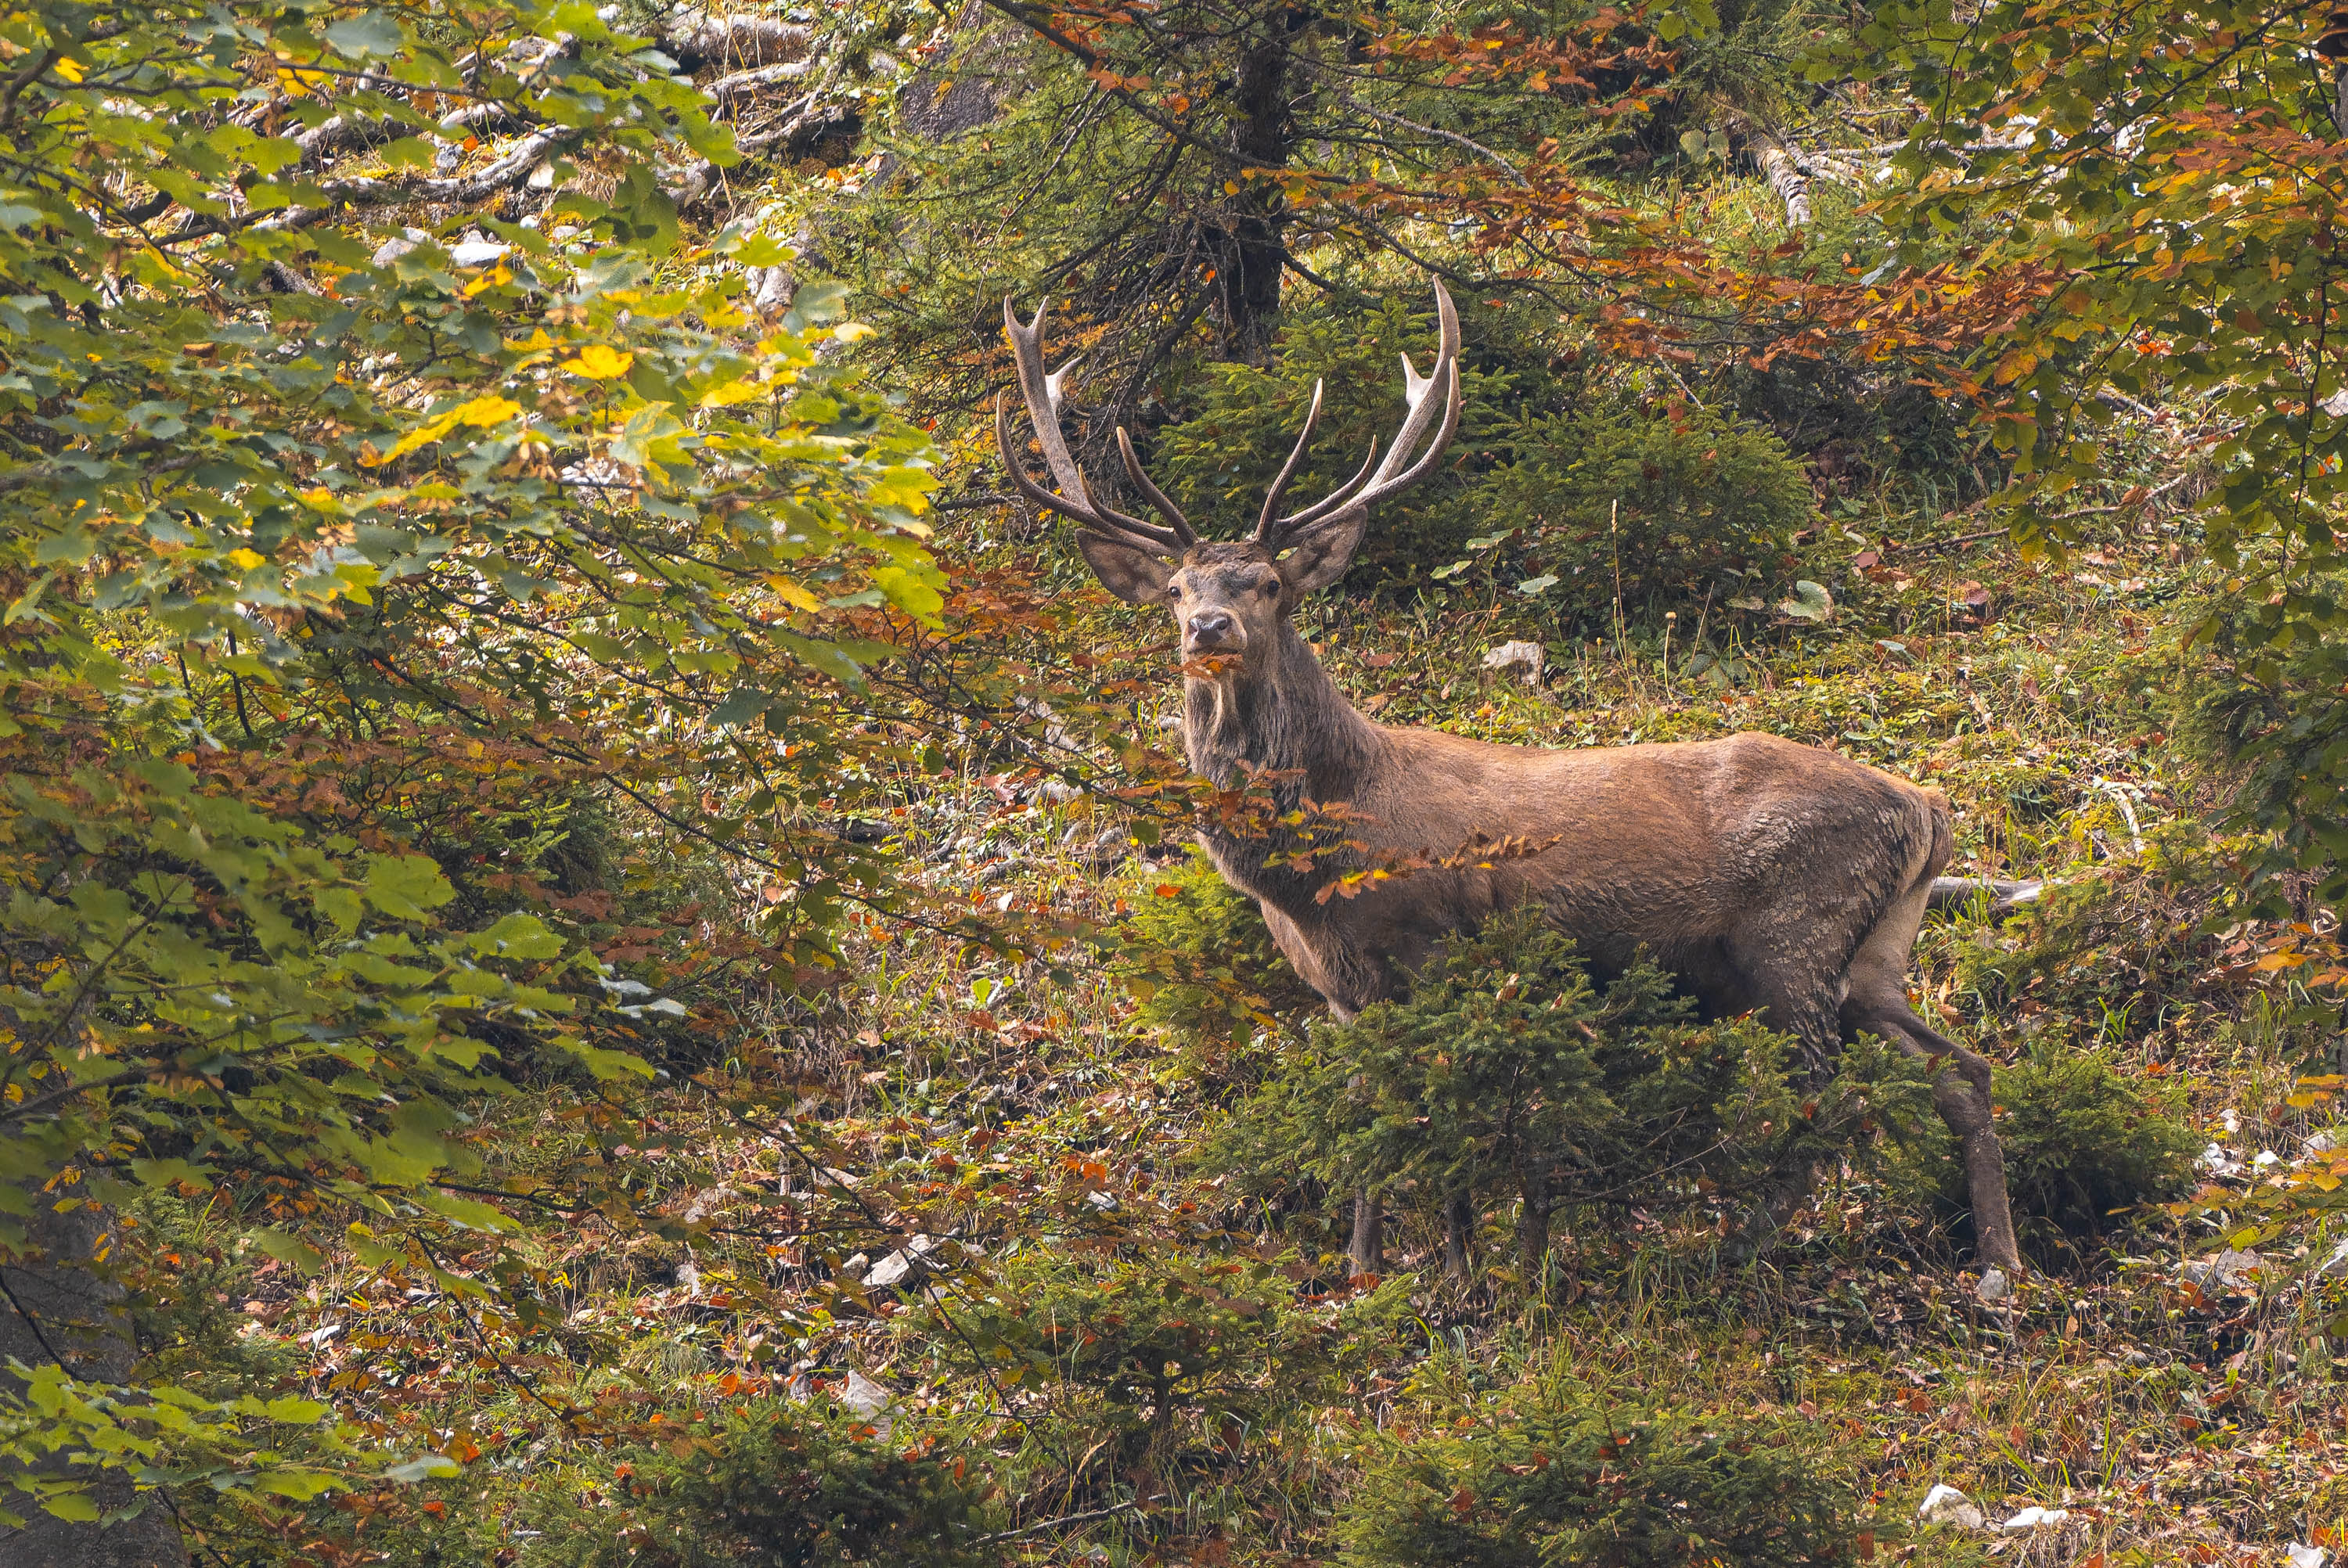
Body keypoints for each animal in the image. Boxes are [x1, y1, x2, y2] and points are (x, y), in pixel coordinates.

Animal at [995, 279, 2023, 1277]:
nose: (1209, 627)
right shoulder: (1342, 995)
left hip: (1795, 936)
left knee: (1831, 1098)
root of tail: (1927, 809)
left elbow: (1447, 1122)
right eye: (1176, 590)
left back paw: (1744, 1246)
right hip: (1875, 954)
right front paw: (1362, 1268)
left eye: (1271, 585)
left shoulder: (1436, 951)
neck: (1319, 867)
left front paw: (1462, 1276)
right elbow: (1368, 1117)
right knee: (1962, 1071)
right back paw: (1997, 1265)